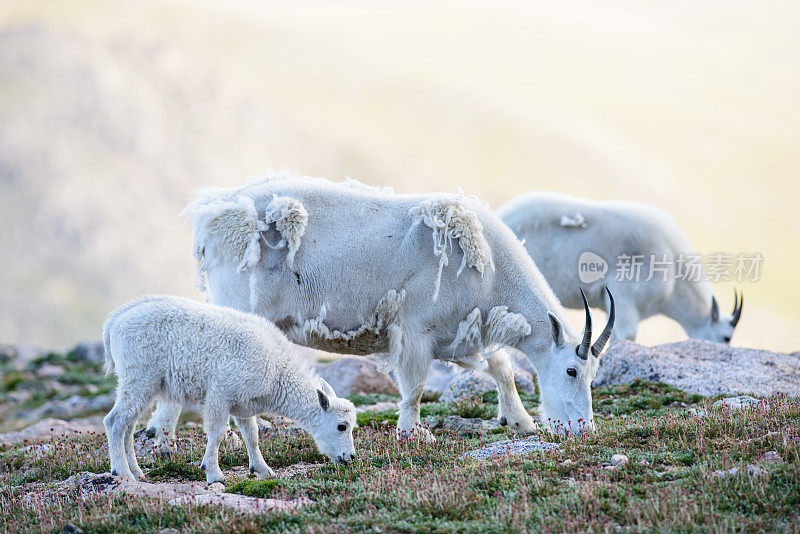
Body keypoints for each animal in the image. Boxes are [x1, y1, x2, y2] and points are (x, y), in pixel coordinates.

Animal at [147, 174, 616, 442]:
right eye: (572, 371)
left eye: (595, 373)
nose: (585, 429)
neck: (489, 267)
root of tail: (212, 218)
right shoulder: (416, 329)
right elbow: (415, 386)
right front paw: (413, 434)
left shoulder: (460, 333)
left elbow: (500, 368)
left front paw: (521, 423)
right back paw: (169, 434)